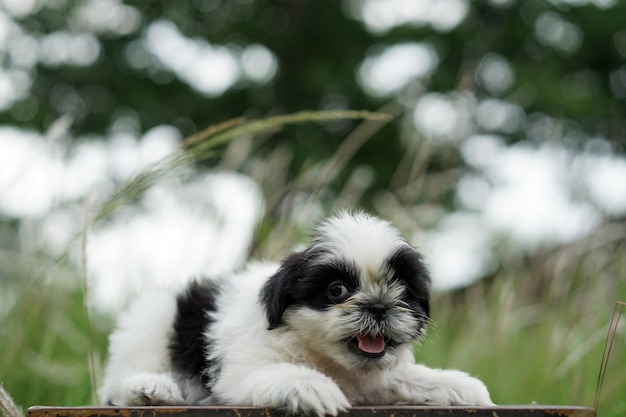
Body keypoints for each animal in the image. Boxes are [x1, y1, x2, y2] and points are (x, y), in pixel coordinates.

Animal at [98, 211, 492, 412]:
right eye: (337, 290)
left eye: (405, 293)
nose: (379, 306)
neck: (326, 358)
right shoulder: (242, 372)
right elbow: (281, 373)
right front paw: (312, 387)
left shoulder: (377, 380)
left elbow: (410, 378)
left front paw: (461, 387)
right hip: (154, 320)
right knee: (119, 380)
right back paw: (151, 388)